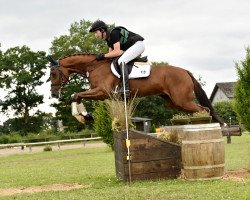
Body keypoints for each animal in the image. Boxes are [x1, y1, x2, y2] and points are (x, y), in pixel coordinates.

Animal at [48, 53, 223, 125]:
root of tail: (185, 71)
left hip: (182, 100)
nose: (54, 94)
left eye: (54, 74)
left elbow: (76, 95)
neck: (94, 66)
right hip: (174, 102)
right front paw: (84, 116)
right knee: (201, 109)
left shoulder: (103, 92)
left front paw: (83, 116)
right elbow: (77, 96)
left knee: (205, 109)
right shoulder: (102, 94)